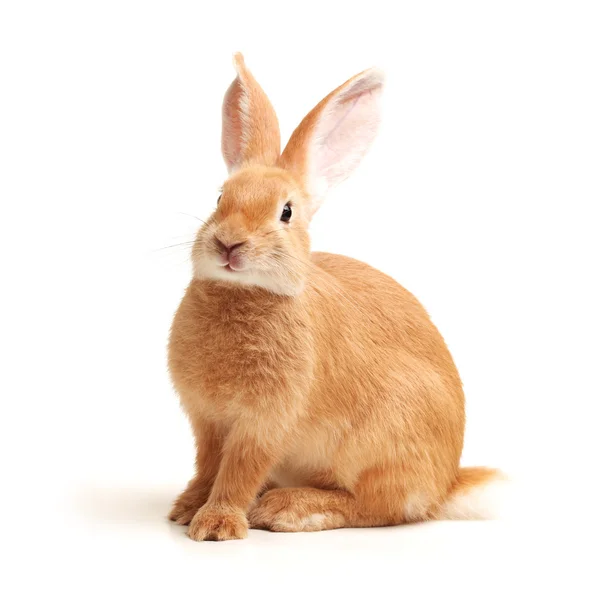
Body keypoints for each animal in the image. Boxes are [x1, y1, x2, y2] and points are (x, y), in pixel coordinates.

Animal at [166, 54, 504, 540]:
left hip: (385, 443)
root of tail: (446, 482)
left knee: (378, 506)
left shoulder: (265, 423)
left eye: (286, 212)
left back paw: (289, 508)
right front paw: (186, 508)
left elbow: (238, 472)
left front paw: (216, 526)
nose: (229, 243)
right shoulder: (208, 422)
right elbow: (208, 466)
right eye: (220, 198)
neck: (243, 293)